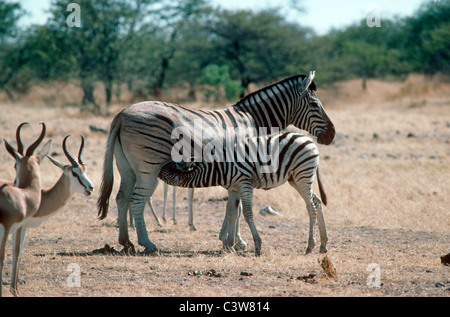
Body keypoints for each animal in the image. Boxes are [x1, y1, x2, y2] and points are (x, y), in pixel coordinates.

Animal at [160, 131, 328, 254]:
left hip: (302, 174)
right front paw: (229, 245)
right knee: (317, 202)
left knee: (311, 207)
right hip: (295, 178)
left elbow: (247, 213)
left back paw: (310, 246)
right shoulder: (233, 189)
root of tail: (309, 139)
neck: (220, 169)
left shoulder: (244, 183)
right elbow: (232, 213)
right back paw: (323, 245)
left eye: (165, 169)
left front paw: (257, 245)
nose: (156, 168)